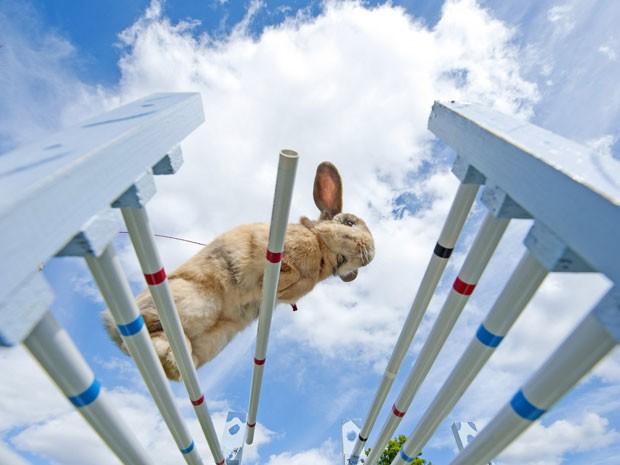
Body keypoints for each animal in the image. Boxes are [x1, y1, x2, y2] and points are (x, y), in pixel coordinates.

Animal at [103, 161, 372, 378]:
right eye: (350, 223)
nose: (371, 252)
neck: (320, 246)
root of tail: (109, 324)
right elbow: (287, 271)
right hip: (195, 304)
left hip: (216, 338)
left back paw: (176, 362)